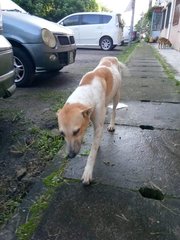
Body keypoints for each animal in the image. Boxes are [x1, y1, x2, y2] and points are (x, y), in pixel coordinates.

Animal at [57, 56, 127, 186]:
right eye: (61, 133)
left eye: (76, 131)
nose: (70, 155)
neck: (87, 88)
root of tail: (111, 57)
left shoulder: (98, 124)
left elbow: (92, 153)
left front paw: (87, 173)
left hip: (117, 94)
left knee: (114, 110)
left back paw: (111, 124)